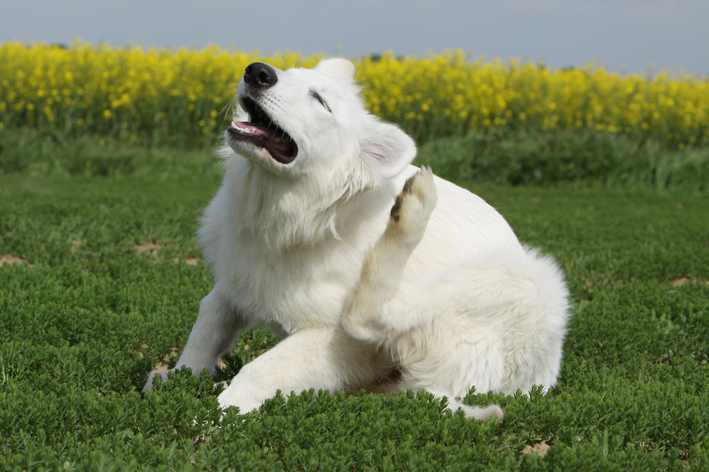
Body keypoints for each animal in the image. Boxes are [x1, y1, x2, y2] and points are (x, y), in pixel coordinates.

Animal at [144, 58, 568, 420]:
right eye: (287, 73)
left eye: (321, 101)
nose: (258, 71)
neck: (287, 216)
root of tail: (537, 381)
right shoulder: (238, 280)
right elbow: (209, 317)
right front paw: (180, 374)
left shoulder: (337, 339)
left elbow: (258, 369)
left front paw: (218, 414)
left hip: (517, 278)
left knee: (367, 313)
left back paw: (412, 211)